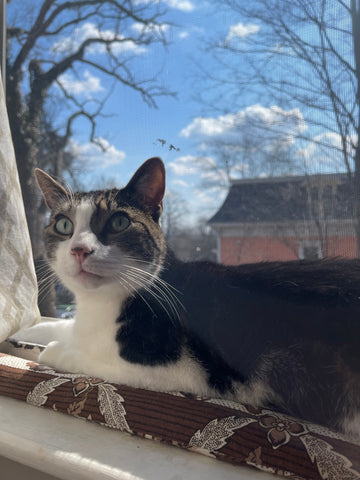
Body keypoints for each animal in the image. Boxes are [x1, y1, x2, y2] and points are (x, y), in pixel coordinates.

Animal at [14, 158, 360, 442]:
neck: (101, 306)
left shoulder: (182, 369)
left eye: (119, 222)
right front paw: (27, 332)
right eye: (64, 224)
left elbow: (83, 356)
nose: (80, 249)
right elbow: (64, 329)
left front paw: (54, 350)